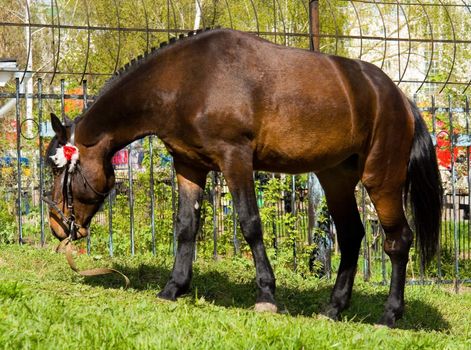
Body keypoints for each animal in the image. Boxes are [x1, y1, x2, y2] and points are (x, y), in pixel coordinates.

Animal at [45, 28, 442, 326]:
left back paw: (390, 315)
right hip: (336, 178)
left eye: (57, 166)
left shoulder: (235, 159)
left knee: (398, 241)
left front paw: (266, 294)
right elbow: (186, 226)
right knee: (351, 235)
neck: (186, 78)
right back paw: (333, 308)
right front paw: (174, 287)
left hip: (381, 178)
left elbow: (250, 223)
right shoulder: (189, 166)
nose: (56, 225)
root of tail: (400, 97)